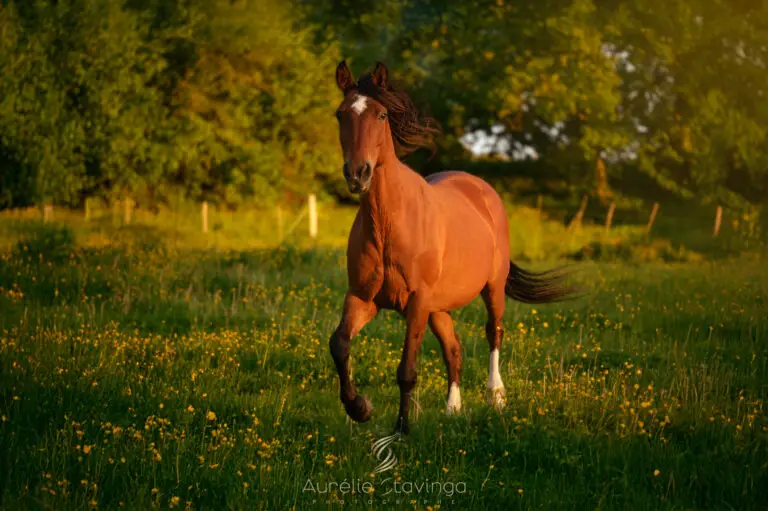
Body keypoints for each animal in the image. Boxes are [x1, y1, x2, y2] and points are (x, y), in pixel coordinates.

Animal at [329, 61, 575, 434]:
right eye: (340, 114)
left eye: (381, 114)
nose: (358, 173)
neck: (389, 223)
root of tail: (481, 190)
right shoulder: (363, 298)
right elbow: (339, 344)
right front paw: (359, 407)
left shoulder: (417, 302)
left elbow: (407, 370)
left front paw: (401, 429)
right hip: (439, 307)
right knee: (453, 349)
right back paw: (453, 410)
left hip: (492, 289)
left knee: (494, 333)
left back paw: (496, 397)